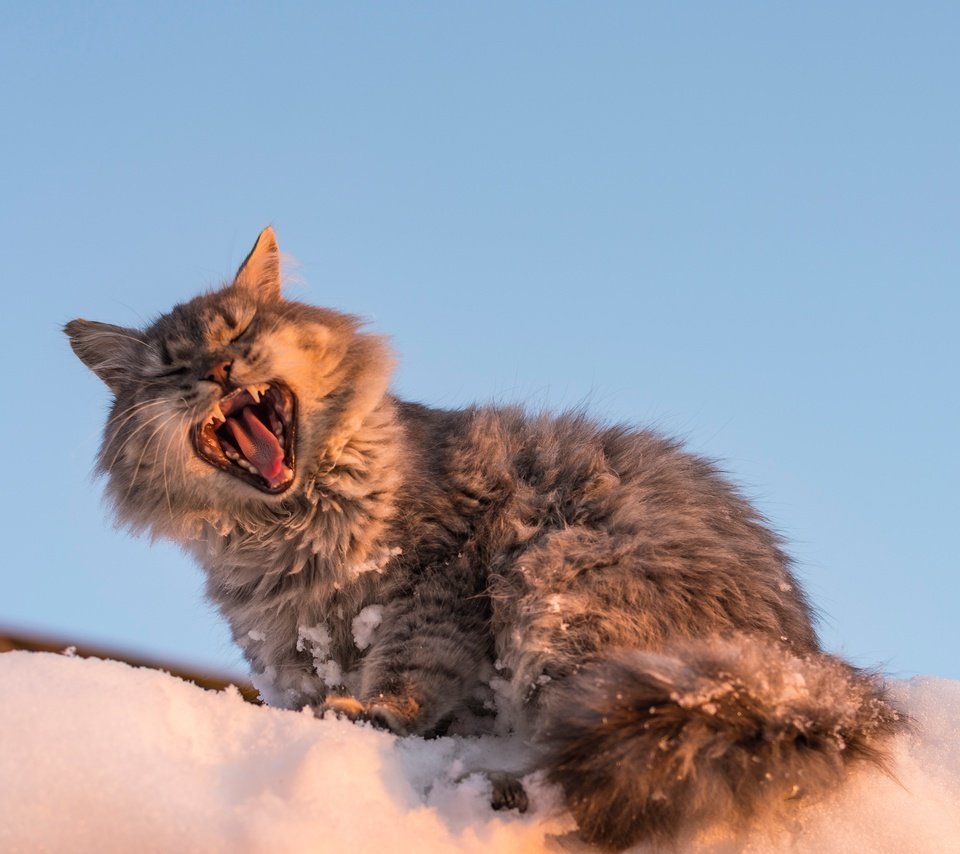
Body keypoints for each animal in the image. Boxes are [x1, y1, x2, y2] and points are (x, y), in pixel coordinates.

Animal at [63, 226, 904, 848]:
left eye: (239, 330)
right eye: (171, 371)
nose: (218, 369)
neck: (290, 526)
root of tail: (799, 671)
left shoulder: (438, 572)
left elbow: (410, 673)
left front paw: (377, 712)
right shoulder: (283, 646)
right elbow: (300, 692)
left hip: (561, 583)